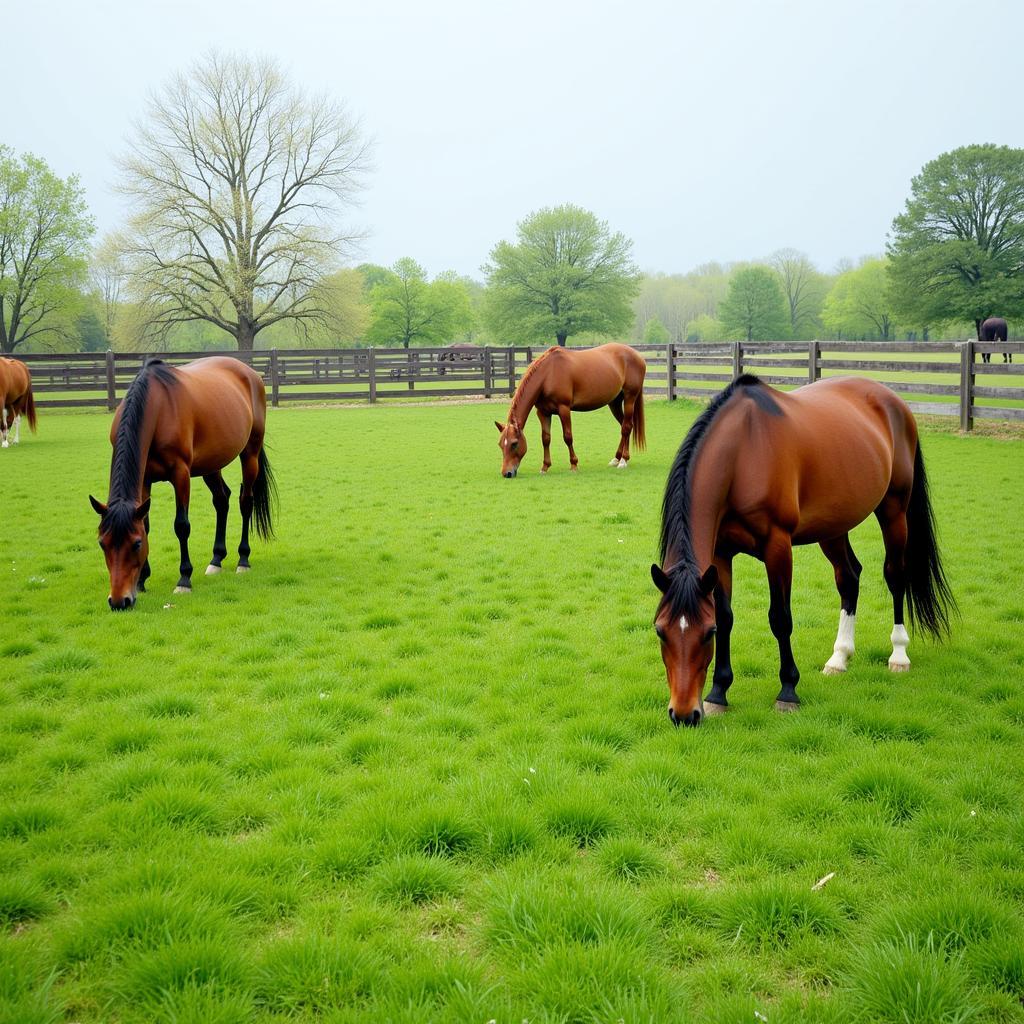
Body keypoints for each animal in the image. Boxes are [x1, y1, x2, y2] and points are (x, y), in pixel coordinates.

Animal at [89, 358, 276, 606]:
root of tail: (249, 372)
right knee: (221, 500)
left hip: (250, 454)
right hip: (211, 463)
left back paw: (243, 559)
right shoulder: (144, 480)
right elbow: (146, 524)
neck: (156, 408)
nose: (120, 601)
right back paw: (216, 560)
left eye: (136, 543)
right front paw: (142, 580)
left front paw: (184, 579)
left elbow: (182, 525)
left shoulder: (180, 474)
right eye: (102, 543)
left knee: (245, 502)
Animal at [491, 339, 643, 475]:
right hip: (614, 402)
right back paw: (617, 458)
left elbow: (568, 436)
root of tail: (637, 355)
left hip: (629, 398)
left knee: (626, 427)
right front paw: (545, 467)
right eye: (500, 444)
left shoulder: (564, 409)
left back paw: (623, 460)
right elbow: (545, 438)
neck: (548, 374)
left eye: (514, 443)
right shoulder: (543, 412)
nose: (507, 473)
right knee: (624, 426)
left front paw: (574, 464)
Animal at [651, 376, 954, 729]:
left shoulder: (778, 547)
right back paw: (839, 657)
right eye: (660, 631)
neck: (743, 454)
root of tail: (893, 400)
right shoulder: (721, 555)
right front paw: (718, 693)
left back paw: (899, 654)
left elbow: (780, 618)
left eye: (706, 634)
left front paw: (787, 691)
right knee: (849, 578)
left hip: (894, 510)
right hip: (833, 525)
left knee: (895, 576)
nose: (684, 715)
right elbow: (726, 615)